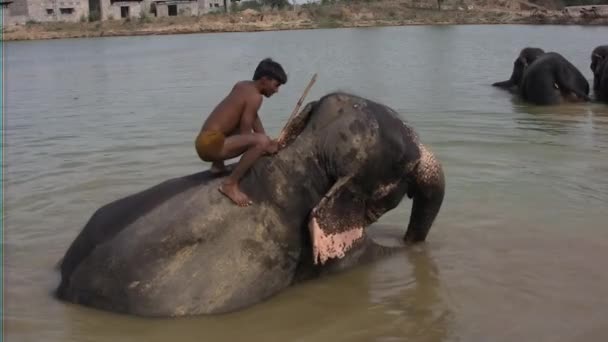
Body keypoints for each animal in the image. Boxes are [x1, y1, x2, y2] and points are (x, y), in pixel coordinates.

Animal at [55, 91, 446, 318]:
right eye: (403, 161)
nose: (409, 237)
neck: (303, 150)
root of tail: (63, 289)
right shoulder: (324, 249)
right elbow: (370, 257)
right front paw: (406, 250)